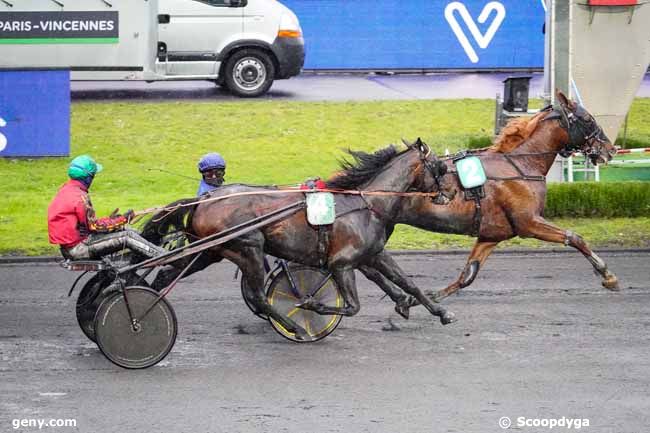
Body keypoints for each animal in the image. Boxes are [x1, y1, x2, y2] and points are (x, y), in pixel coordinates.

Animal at [146, 140, 450, 340]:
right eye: (439, 167)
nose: (448, 194)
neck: (366, 203)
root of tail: (205, 198)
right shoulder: (342, 264)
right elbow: (353, 306)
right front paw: (311, 304)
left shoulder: (373, 254)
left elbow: (406, 282)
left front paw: (437, 311)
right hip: (248, 247)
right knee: (258, 295)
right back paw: (294, 327)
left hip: (209, 251)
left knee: (166, 274)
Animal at [390, 90, 616, 310]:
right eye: (588, 119)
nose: (610, 150)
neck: (521, 165)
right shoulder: (529, 223)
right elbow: (574, 237)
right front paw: (608, 275)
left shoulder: (491, 235)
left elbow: (468, 275)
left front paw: (418, 299)